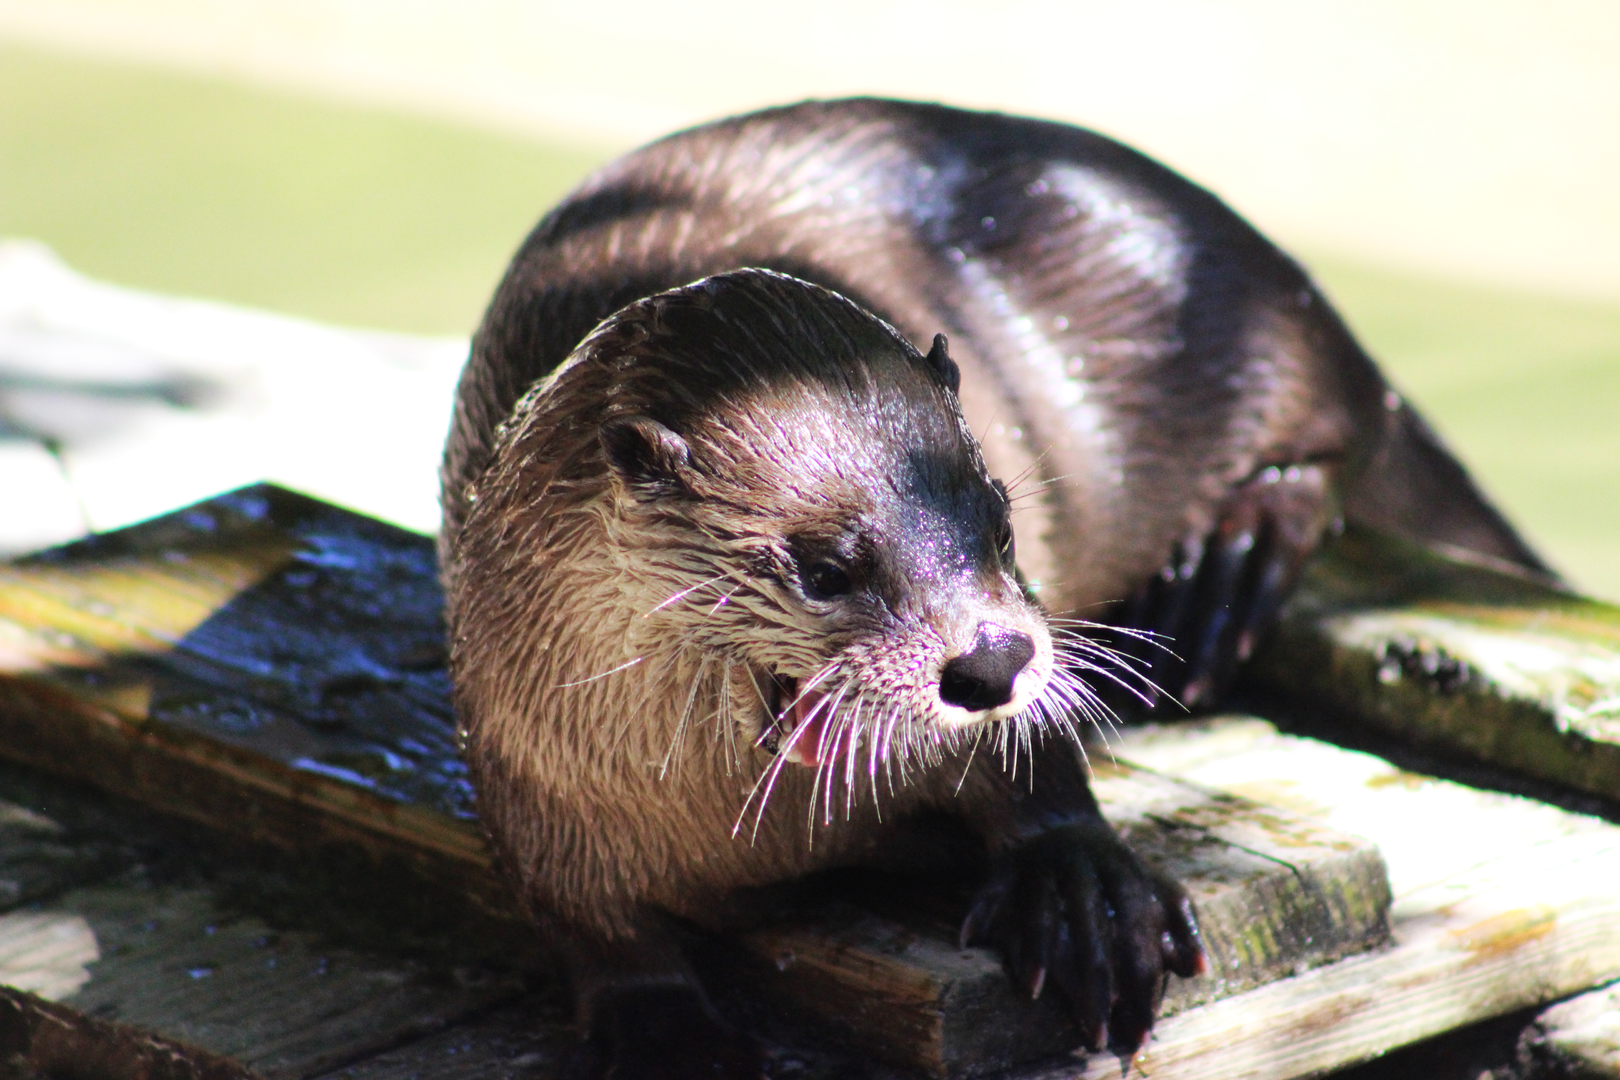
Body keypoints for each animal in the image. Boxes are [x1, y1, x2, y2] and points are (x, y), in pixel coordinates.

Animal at [441, 99, 1547, 1078]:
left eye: (1002, 520)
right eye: (826, 568)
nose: (994, 657)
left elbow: (1038, 773)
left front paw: (1082, 891)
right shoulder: (522, 773)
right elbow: (593, 927)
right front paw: (669, 1036)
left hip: (1266, 341)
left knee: (1340, 439)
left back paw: (1229, 561)